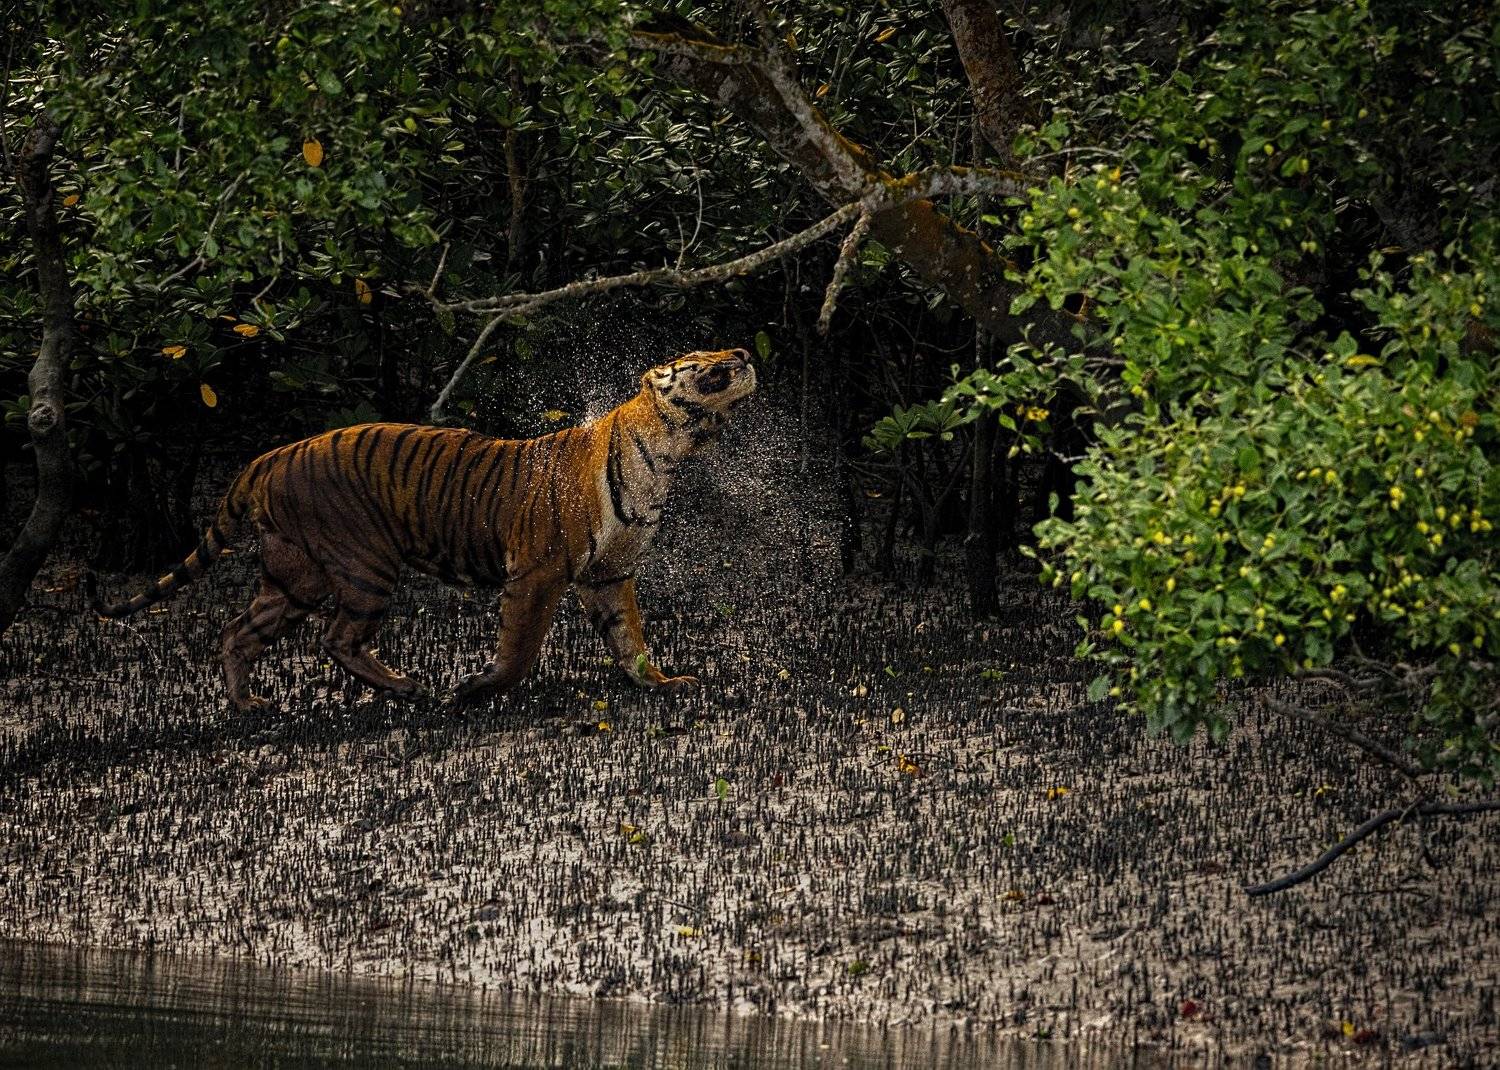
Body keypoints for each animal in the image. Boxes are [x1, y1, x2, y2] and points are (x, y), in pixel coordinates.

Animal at [89, 349, 757, 712]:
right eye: (705, 358)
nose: (746, 355)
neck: (669, 453)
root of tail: (271, 455)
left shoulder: (609, 574)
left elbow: (629, 639)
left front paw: (661, 682)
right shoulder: (538, 573)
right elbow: (520, 651)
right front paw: (476, 688)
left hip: (295, 577)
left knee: (238, 631)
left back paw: (248, 703)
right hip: (364, 563)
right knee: (336, 638)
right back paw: (410, 689)